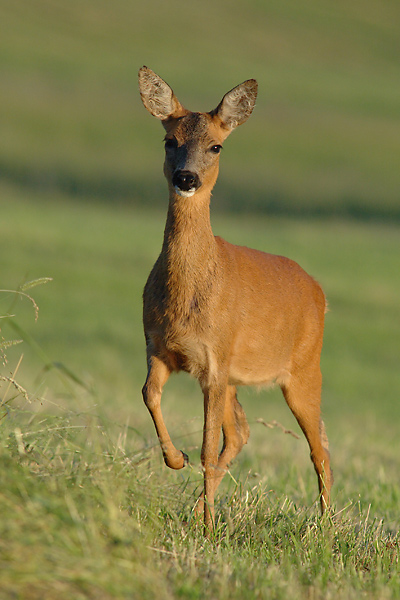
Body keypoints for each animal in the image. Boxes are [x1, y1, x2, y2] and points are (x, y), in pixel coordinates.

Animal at [138, 67, 332, 536]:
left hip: (304, 369)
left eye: (216, 146)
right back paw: (196, 509)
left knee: (319, 445)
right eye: (169, 140)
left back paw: (326, 526)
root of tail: (319, 292)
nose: (186, 178)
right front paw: (175, 460)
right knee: (243, 431)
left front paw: (209, 530)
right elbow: (149, 394)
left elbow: (208, 447)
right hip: (236, 379)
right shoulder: (160, 347)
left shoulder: (215, 359)